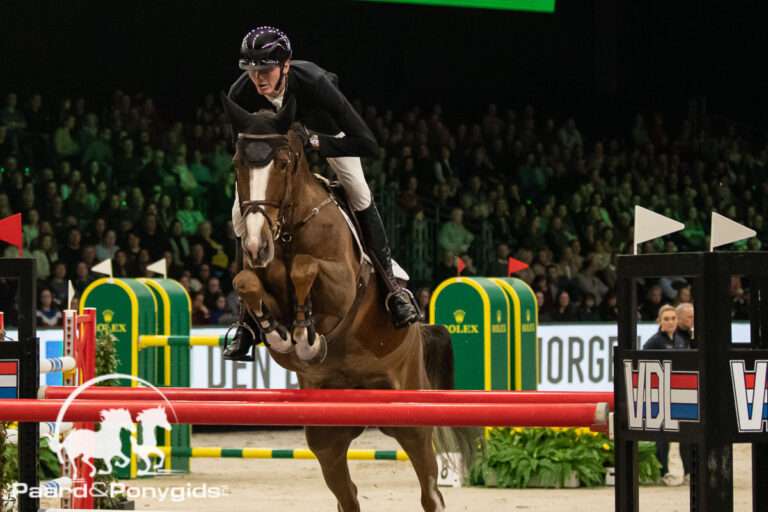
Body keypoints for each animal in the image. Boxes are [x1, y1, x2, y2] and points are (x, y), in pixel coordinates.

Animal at [222, 93, 460, 512]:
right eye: (237, 164)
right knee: (346, 494)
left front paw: (305, 336)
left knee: (430, 488)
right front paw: (279, 333)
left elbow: (306, 267)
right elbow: (246, 280)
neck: (288, 230)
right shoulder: (257, 273)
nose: (255, 245)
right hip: (327, 436)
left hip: (411, 419)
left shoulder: (344, 285)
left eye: (283, 163)